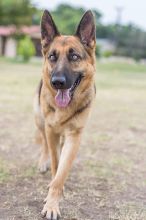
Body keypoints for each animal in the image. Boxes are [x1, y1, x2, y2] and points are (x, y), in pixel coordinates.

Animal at [33, 9, 96, 219]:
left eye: (74, 57)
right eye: (52, 57)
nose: (57, 82)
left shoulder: (74, 136)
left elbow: (62, 172)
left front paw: (54, 201)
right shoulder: (51, 130)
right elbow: (55, 164)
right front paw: (52, 198)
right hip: (40, 120)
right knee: (44, 143)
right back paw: (43, 162)